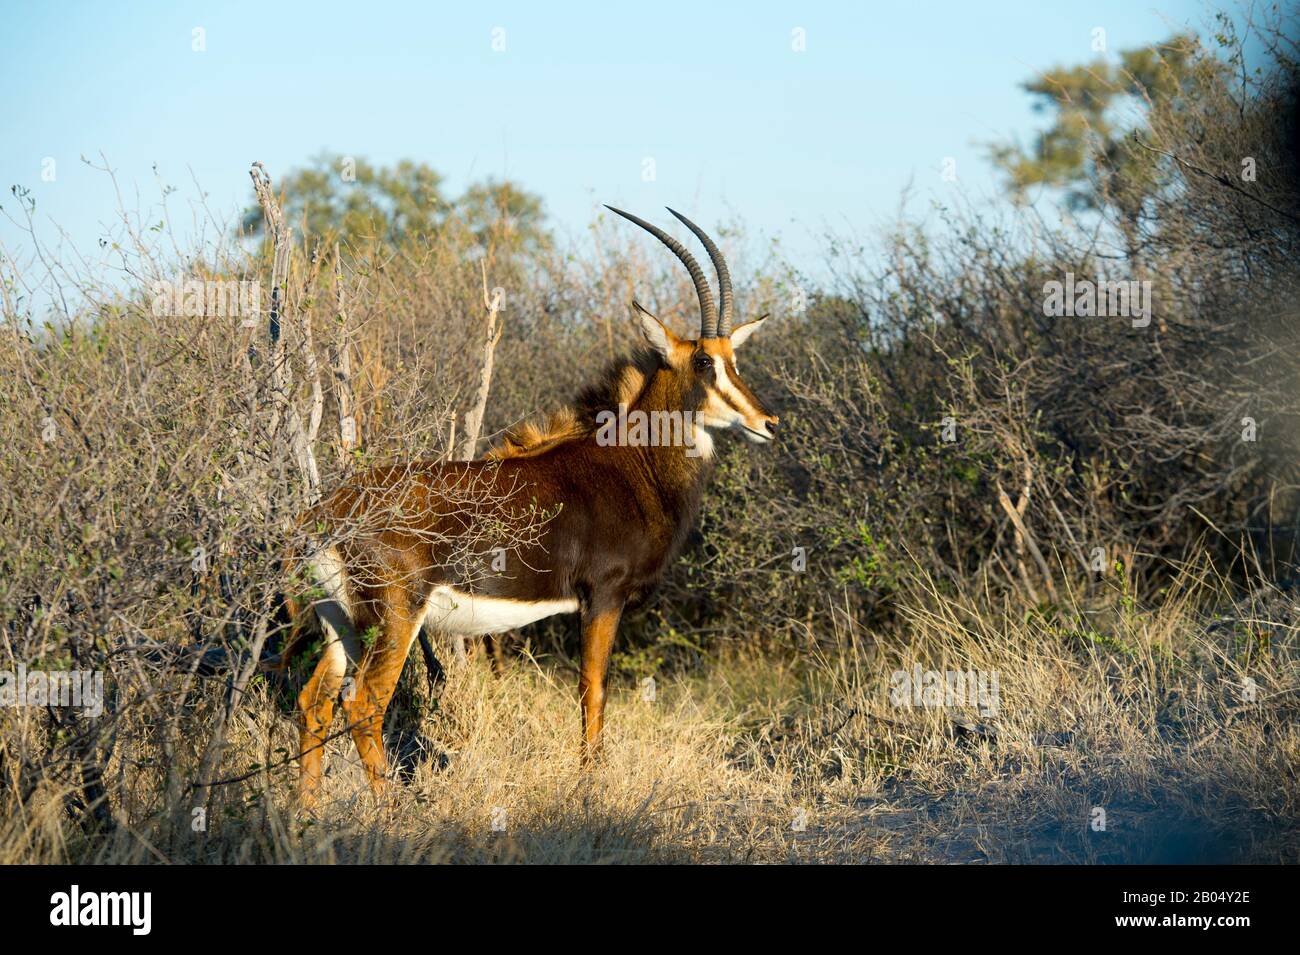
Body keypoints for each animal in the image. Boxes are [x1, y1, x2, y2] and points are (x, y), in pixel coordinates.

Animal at [280, 207, 774, 805]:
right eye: (703, 361)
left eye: (734, 358)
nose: (767, 422)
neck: (632, 460)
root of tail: (322, 515)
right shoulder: (602, 596)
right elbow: (592, 691)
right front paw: (590, 787)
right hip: (394, 614)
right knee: (364, 704)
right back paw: (390, 809)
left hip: (340, 620)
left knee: (315, 703)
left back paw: (309, 810)